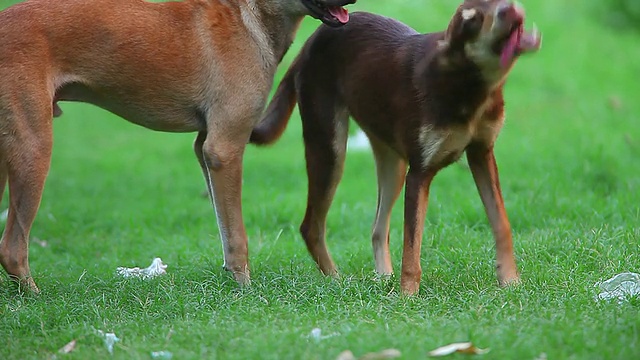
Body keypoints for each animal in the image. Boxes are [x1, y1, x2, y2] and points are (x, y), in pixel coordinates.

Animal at [0, 0, 356, 292]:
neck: (249, 17)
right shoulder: (224, 148)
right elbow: (237, 234)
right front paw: (246, 289)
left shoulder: (205, 147)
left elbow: (225, 228)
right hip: (34, 149)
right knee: (12, 249)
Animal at [252, 0, 544, 294]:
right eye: (471, 20)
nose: (509, 9)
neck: (468, 83)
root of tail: (309, 43)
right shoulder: (420, 173)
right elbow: (412, 246)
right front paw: (408, 295)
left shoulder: (482, 155)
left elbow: (501, 223)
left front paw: (511, 280)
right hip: (330, 149)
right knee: (311, 227)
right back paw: (336, 280)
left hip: (392, 164)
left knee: (377, 228)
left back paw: (383, 277)